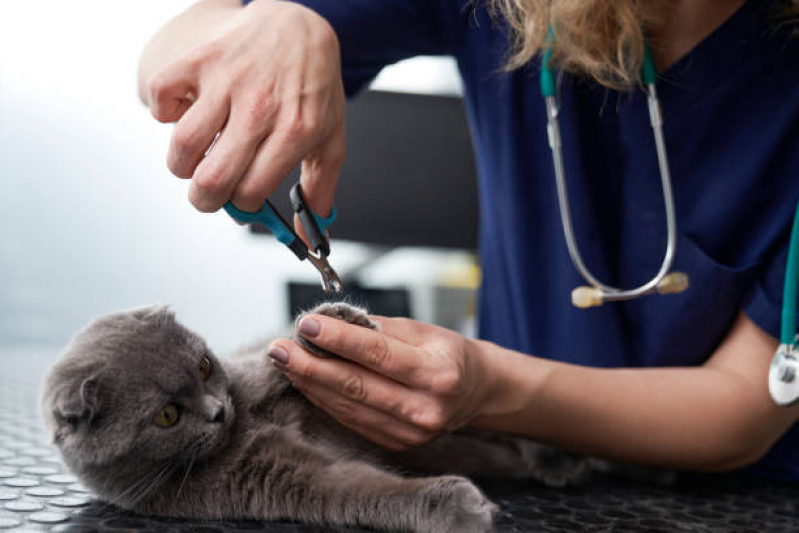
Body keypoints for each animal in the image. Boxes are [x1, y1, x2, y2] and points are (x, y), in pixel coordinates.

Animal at [40, 302, 668, 528]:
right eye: (168, 417)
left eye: (202, 367)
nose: (217, 414)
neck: (245, 426)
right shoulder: (273, 478)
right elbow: (356, 487)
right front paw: (458, 506)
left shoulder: (249, 378)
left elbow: (277, 361)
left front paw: (332, 322)